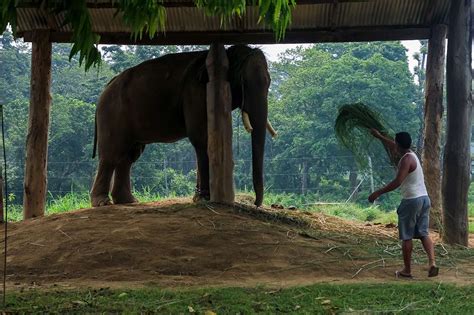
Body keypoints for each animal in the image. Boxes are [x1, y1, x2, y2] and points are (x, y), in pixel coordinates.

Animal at [90, 44, 276, 207]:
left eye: (269, 82)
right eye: (244, 83)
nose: (256, 203)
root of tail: (106, 87)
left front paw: (199, 197)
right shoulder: (196, 93)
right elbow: (201, 137)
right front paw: (204, 198)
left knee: (129, 156)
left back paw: (128, 201)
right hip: (112, 114)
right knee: (111, 154)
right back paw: (102, 202)